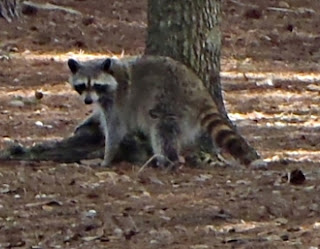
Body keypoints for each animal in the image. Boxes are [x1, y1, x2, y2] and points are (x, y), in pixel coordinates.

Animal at [67, 55, 258, 166]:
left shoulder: (118, 100)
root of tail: (200, 91)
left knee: (162, 129)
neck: (111, 72)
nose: (87, 101)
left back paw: (168, 159)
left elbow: (115, 129)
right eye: (82, 86)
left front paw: (107, 158)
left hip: (173, 102)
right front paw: (90, 118)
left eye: (96, 85)